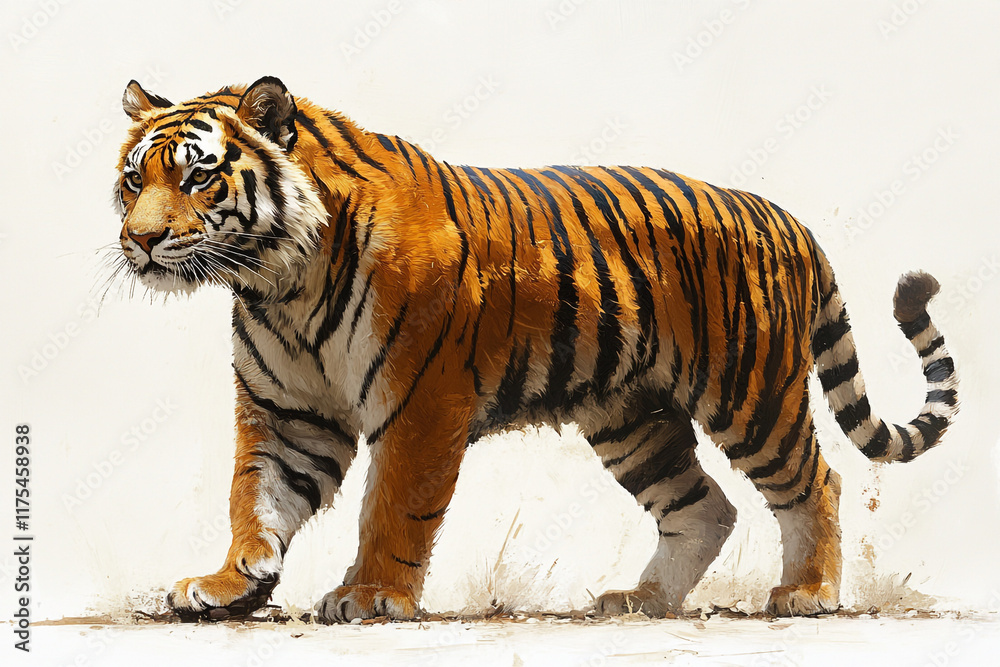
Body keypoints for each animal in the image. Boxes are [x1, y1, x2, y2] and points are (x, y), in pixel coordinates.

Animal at [114, 76, 958, 621]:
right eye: (131, 180)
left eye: (199, 177)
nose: (139, 240)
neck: (278, 281)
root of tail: (789, 218)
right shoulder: (287, 410)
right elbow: (255, 496)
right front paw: (232, 582)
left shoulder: (421, 404)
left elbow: (392, 508)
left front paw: (370, 595)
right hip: (633, 417)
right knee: (704, 507)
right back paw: (643, 600)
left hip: (749, 392)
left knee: (815, 483)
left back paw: (809, 592)